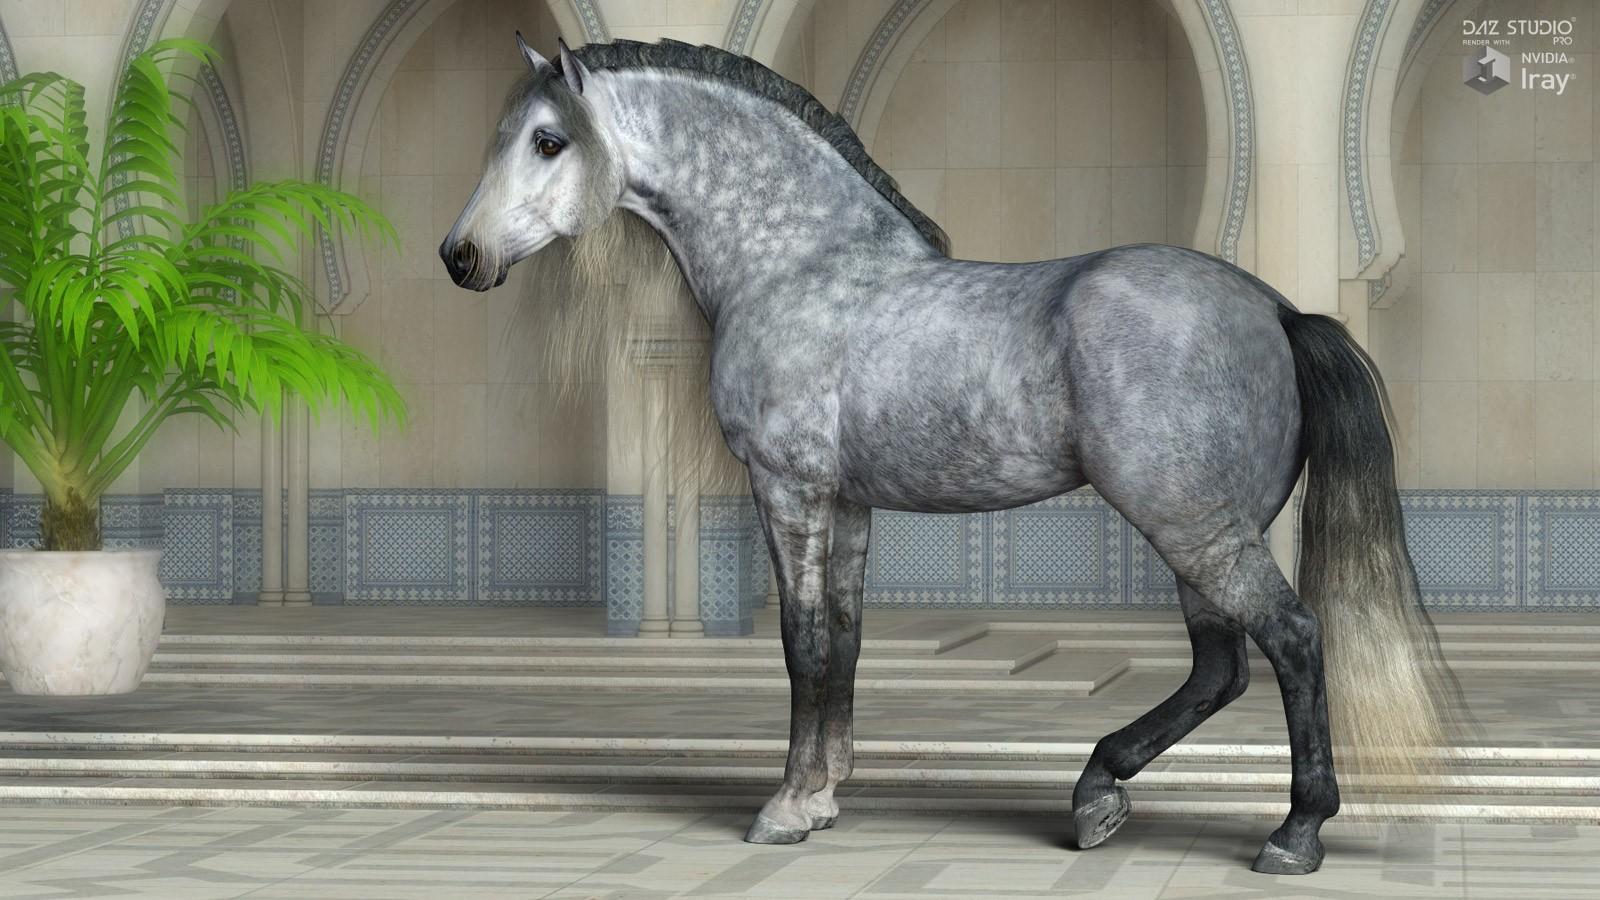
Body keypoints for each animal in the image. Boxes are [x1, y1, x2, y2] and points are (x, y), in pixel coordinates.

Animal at [440, 35, 1460, 875]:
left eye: (546, 141)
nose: (461, 255)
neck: (801, 264)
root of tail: (1281, 312)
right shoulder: (846, 504)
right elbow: (843, 639)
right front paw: (827, 793)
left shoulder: (788, 490)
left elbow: (801, 642)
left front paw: (785, 809)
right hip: (1199, 530)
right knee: (1221, 669)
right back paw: (1097, 796)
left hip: (1190, 523)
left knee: (1290, 637)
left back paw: (1292, 835)